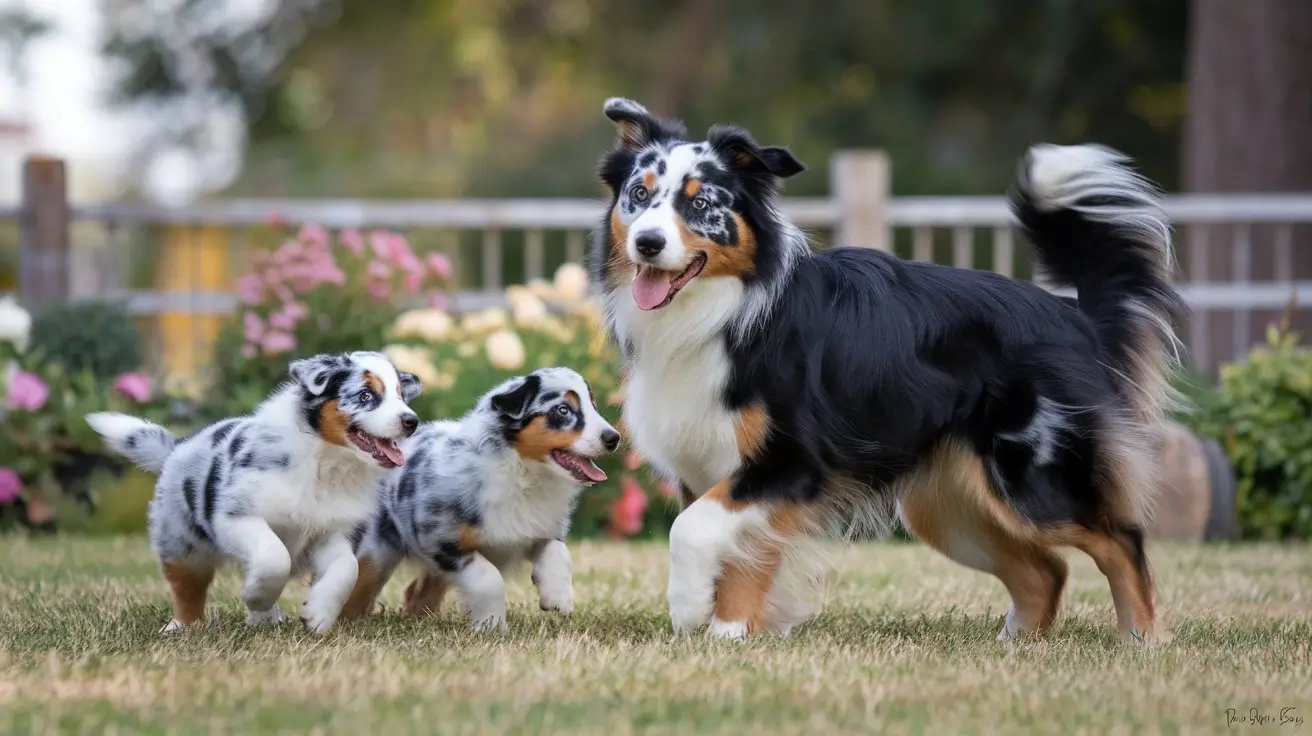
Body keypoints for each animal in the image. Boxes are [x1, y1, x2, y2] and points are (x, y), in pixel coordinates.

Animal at [343, 364, 619, 629]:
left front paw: (558, 597)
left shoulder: (537, 525)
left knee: (415, 592)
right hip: (376, 548)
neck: (522, 471)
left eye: (593, 406)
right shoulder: (442, 541)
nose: (614, 438)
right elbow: (488, 578)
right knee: (361, 585)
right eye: (563, 410)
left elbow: (558, 551)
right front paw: (491, 625)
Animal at [595, 96, 1191, 642]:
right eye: (639, 195)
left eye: (700, 204)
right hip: (948, 508)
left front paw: (691, 610)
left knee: (1120, 540)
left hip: (1034, 480)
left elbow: (690, 530)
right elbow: (742, 557)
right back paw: (1017, 646)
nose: (647, 243)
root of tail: (1074, 316)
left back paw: (1142, 640)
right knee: (1046, 569)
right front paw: (729, 637)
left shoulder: (792, 461)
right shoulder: (720, 466)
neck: (724, 310)